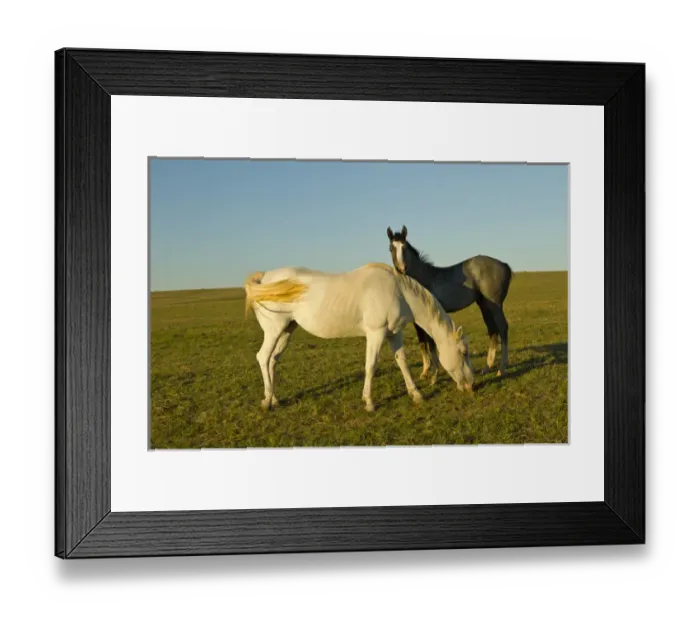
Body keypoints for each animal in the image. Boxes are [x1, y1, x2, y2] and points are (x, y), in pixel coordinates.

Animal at [244, 262, 475, 412]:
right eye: (464, 352)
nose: (471, 385)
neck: (398, 291)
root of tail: (264, 277)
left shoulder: (394, 334)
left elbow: (403, 363)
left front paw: (417, 395)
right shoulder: (376, 334)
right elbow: (371, 366)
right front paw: (369, 402)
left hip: (286, 331)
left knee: (272, 360)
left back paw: (273, 399)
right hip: (274, 330)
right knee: (263, 358)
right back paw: (266, 402)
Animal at [386, 225, 512, 381]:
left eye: (404, 247)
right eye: (391, 248)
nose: (401, 269)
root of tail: (504, 265)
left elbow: (430, 343)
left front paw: (434, 374)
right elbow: (422, 342)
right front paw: (425, 371)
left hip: (495, 306)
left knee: (502, 328)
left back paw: (502, 368)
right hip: (484, 305)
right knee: (492, 330)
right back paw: (487, 367)